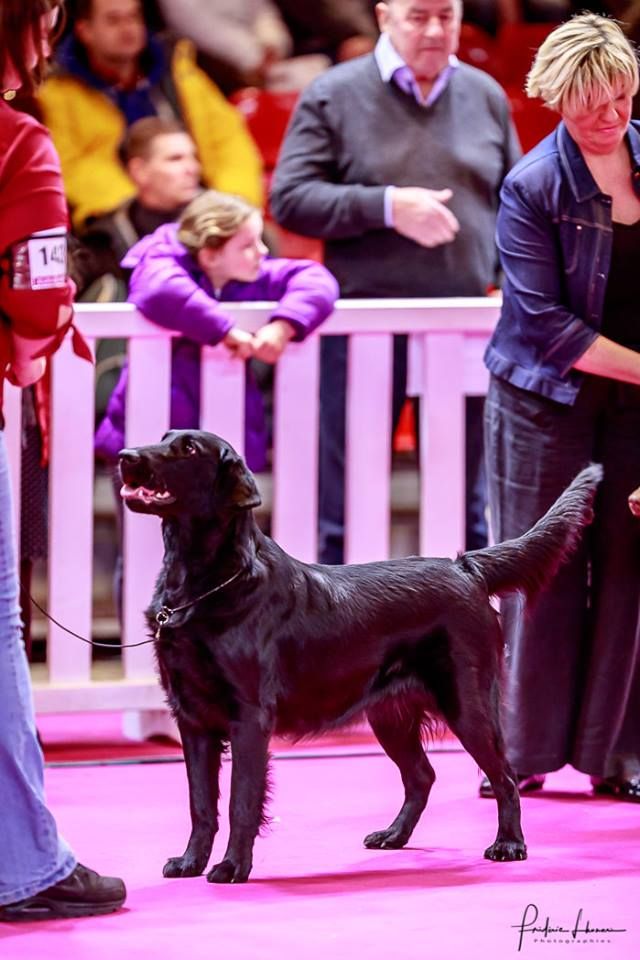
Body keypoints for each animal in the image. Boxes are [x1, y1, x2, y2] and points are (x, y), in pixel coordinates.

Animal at [117, 434, 604, 884]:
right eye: (163, 437)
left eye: (188, 449)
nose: (124, 457)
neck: (207, 583)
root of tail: (465, 567)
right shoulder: (192, 718)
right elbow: (200, 804)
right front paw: (190, 862)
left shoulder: (249, 717)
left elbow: (241, 801)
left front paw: (233, 866)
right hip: (389, 714)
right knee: (422, 776)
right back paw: (393, 836)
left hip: (468, 704)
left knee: (504, 776)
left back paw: (509, 845)